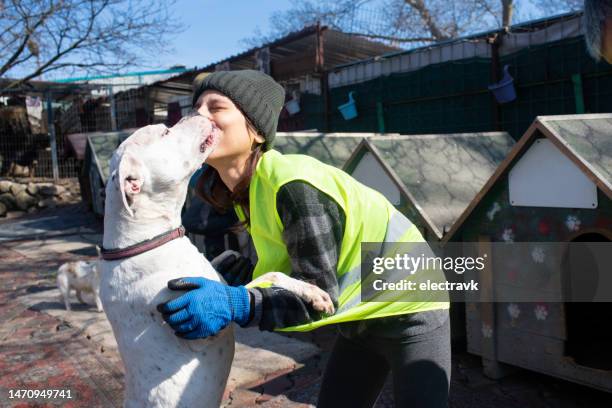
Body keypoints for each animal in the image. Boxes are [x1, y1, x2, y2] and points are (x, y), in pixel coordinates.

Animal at [99, 115, 334, 408]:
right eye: (165, 133)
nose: (193, 114)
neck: (142, 241)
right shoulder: (207, 327)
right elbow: (268, 278)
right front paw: (313, 292)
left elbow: (227, 262)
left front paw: (236, 260)